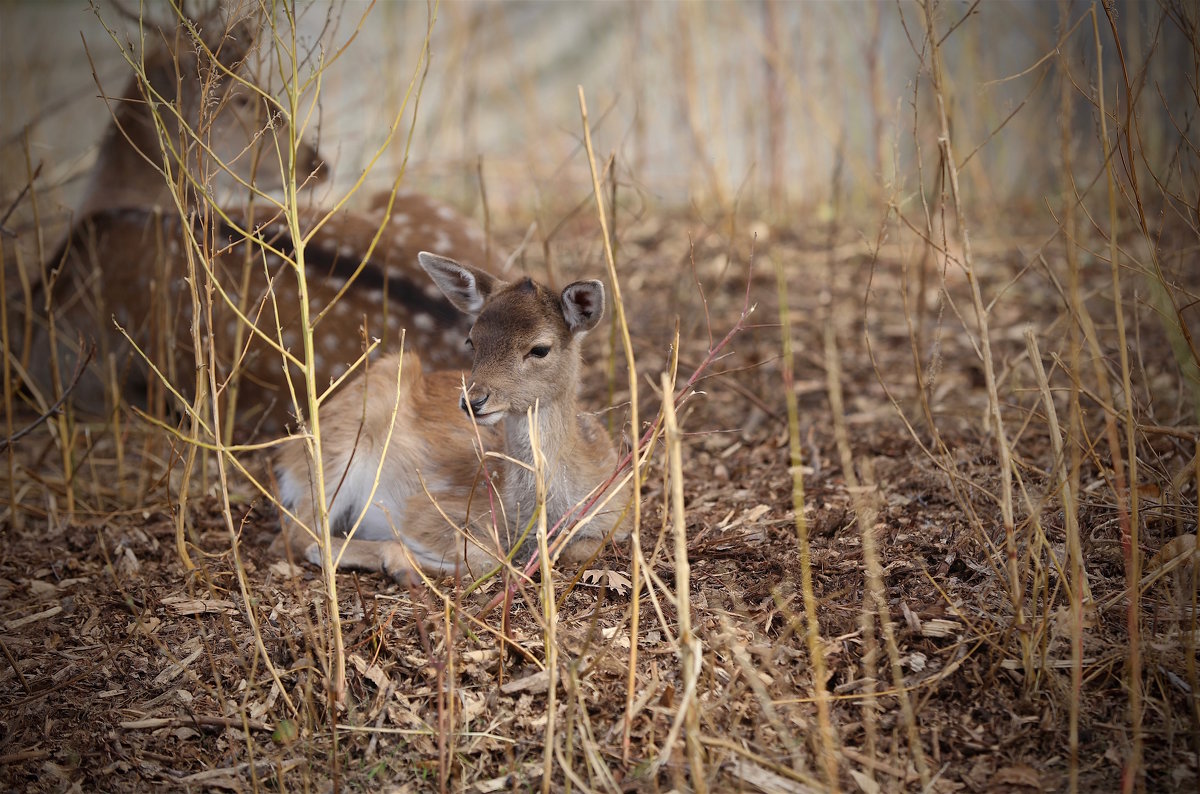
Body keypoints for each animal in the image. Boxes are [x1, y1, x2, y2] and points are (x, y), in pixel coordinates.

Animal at [272, 255, 628, 585]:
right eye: (472, 340)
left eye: (540, 349)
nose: (474, 400)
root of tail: (286, 453)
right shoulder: (428, 509)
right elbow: (487, 557)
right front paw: (399, 559)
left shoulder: (617, 516)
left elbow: (578, 548)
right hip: (338, 450)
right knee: (298, 536)